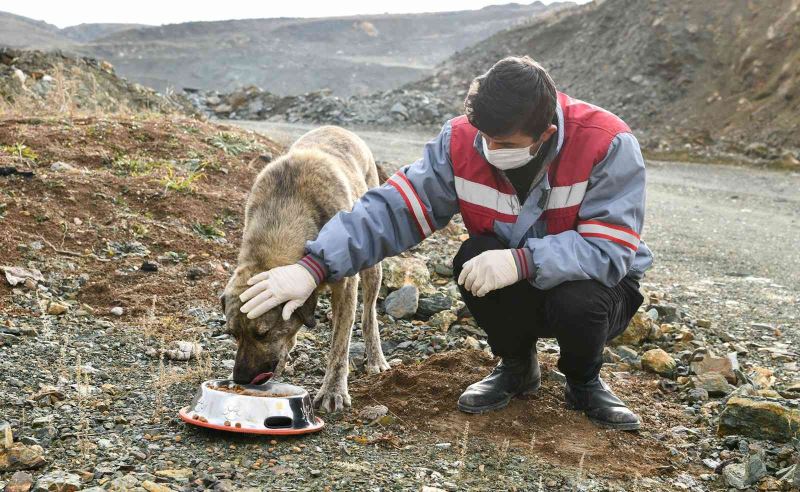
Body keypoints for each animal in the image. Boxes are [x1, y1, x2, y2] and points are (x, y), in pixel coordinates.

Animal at [222, 126, 390, 412]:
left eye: (263, 334)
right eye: (233, 334)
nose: (241, 379)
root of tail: (339, 129)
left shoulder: (346, 287)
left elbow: (339, 346)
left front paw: (333, 390)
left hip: (371, 266)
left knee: (369, 315)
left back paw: (375, 357)